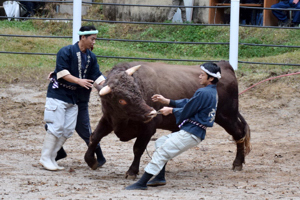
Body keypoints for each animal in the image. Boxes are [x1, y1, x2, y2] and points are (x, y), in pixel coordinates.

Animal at [84, 60, 251, 178]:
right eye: (121, 100)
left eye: (138, 91)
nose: (151, 113)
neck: (123, 119)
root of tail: (224, 65)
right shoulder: (108, 120)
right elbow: (94, 137)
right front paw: (91, 161)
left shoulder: (148, 128)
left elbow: (138, 148)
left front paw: (132, 171)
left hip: (227, 116)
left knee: (239, 133)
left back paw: (237, 163)